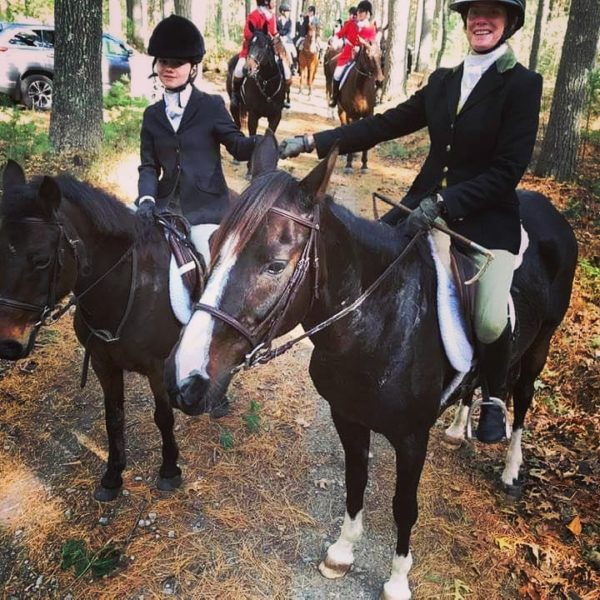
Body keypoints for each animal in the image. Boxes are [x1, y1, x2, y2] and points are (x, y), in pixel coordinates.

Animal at [0, 163, 218, 502]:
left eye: (41, 259)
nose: (8, 344)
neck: (128, 289)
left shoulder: (156, 367)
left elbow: (163, 416)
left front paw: (169, 470)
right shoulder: (104, 364)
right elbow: (113, 417)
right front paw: (113, 476)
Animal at [163, 136, 576, 600]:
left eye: (275, 265)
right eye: (213, 246)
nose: (185, 381)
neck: (380, 324)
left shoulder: (412, 438)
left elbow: (404, 506)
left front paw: (397, 579)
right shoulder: (348, 417)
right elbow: (356, 481)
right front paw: (342, 552)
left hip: (540, 344)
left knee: (522, 398)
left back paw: (509, 467)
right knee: (475, 382)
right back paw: (458, 428)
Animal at [336, 37, 382, 173]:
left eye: (381, 55)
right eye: (368, 56)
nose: (380, 81)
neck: (360, 88)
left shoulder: (369, 114)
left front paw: (364, 165)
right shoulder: (353, 115)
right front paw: (349, 164)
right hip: (342, 111)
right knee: (343, 125)